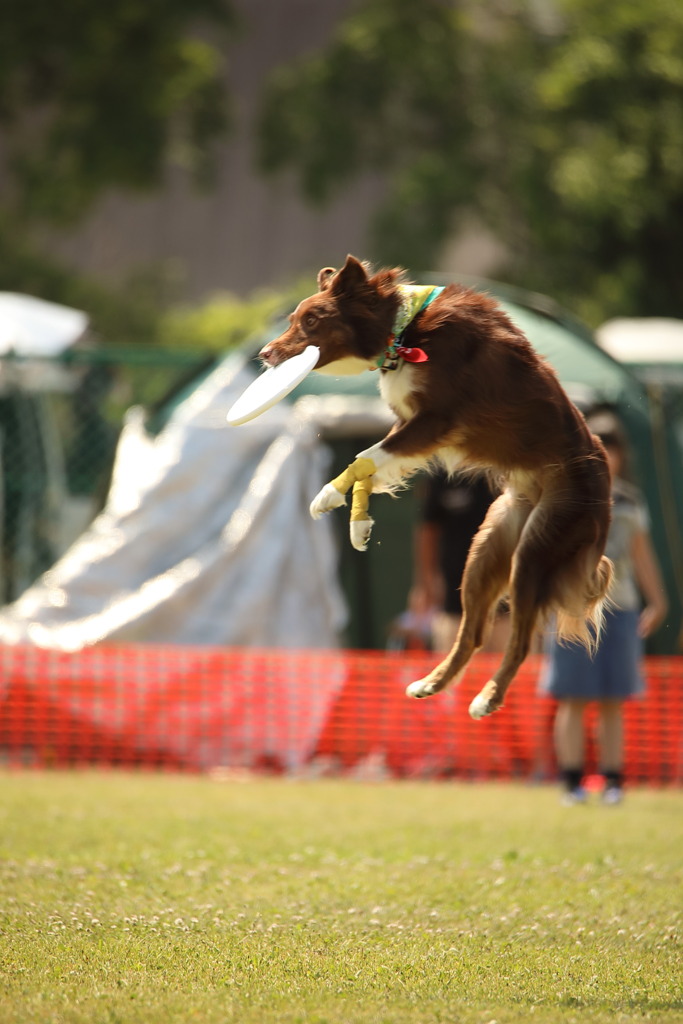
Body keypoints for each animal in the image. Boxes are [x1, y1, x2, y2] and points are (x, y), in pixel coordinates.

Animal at [259, 256, 610, 720]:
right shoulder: (411, 425)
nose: (264, 355)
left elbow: (365, 457)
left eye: (312, 320)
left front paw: (327, 496)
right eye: (293, 320)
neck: (404, 331)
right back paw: (431, 683)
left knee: (520, 640)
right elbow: (373, 464)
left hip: (538, 545)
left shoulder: (437, 420)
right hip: (484, 550)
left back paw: (487, 698)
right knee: (472, 633)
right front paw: (359, 525)